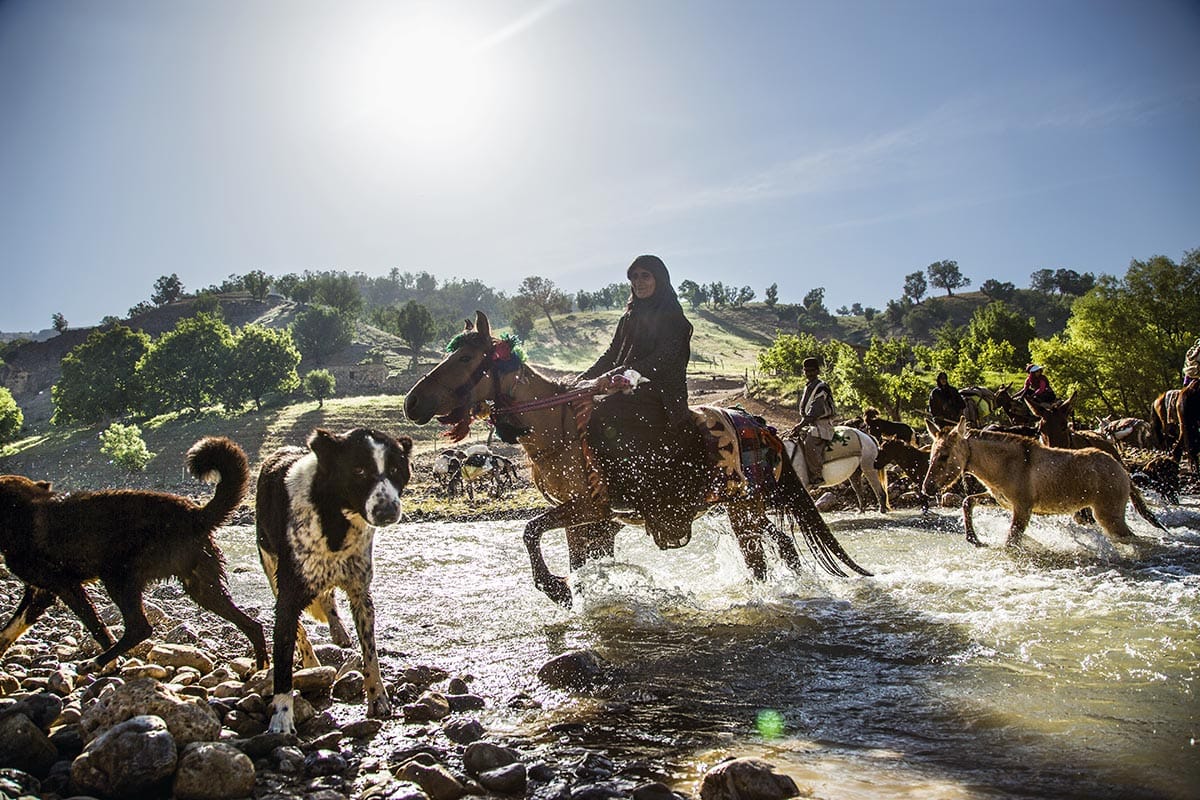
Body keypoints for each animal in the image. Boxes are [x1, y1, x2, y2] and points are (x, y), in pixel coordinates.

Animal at [0, 438, 265, 671]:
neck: (17, 514)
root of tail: (195, 513)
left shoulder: (66, 586)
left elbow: (96, 626)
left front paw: (110, 664)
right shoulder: (40, 593)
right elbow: (7, 630)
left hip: (118, 577)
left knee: (139, 628)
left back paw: (95, 663)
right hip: (202, 586)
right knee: (253, 625)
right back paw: (260, 668)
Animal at [254, 429, 412, 734]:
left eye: (395, 470)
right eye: (359, 470)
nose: (387, 511)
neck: (335, 516)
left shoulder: (361, 595)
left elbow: (370, 655)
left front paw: (378, 698)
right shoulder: (288, 597)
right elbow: (283, 664)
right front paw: (281, 718)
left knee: (327, 598)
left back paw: (338, 631)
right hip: (271, 568)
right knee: (301, 632)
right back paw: (311, 662)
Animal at [405, 311, 873, 606]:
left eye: (466, 357)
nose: (412, 403)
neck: (557, 427)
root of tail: (760, 425)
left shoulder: (591, 507)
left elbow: (530, 530)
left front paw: (556, 589)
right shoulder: (582, 516)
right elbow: (574, 558)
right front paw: (581, 594)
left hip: (743, 506)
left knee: (760, 557)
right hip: (744, 506)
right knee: (782, 542)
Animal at [916, 417, 1161, 546]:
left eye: (944, 456)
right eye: (930, 456)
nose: (927, 488)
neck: (1006, 464)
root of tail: (1122, 470)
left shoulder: (1023, 509)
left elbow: (1011, 540)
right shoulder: (1000, 500)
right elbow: (967, 502)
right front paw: (973, 538)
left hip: (1109, 516)